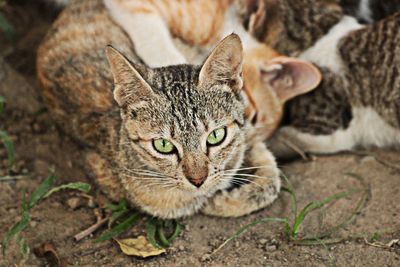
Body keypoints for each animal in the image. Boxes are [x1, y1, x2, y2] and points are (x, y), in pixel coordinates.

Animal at [37, 0, 322, 218]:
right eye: (163, 145)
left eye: (216, 136)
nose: (198, 180)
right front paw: (215, 199)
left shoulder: (245, 133)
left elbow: (270, 179)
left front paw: (225, 199)